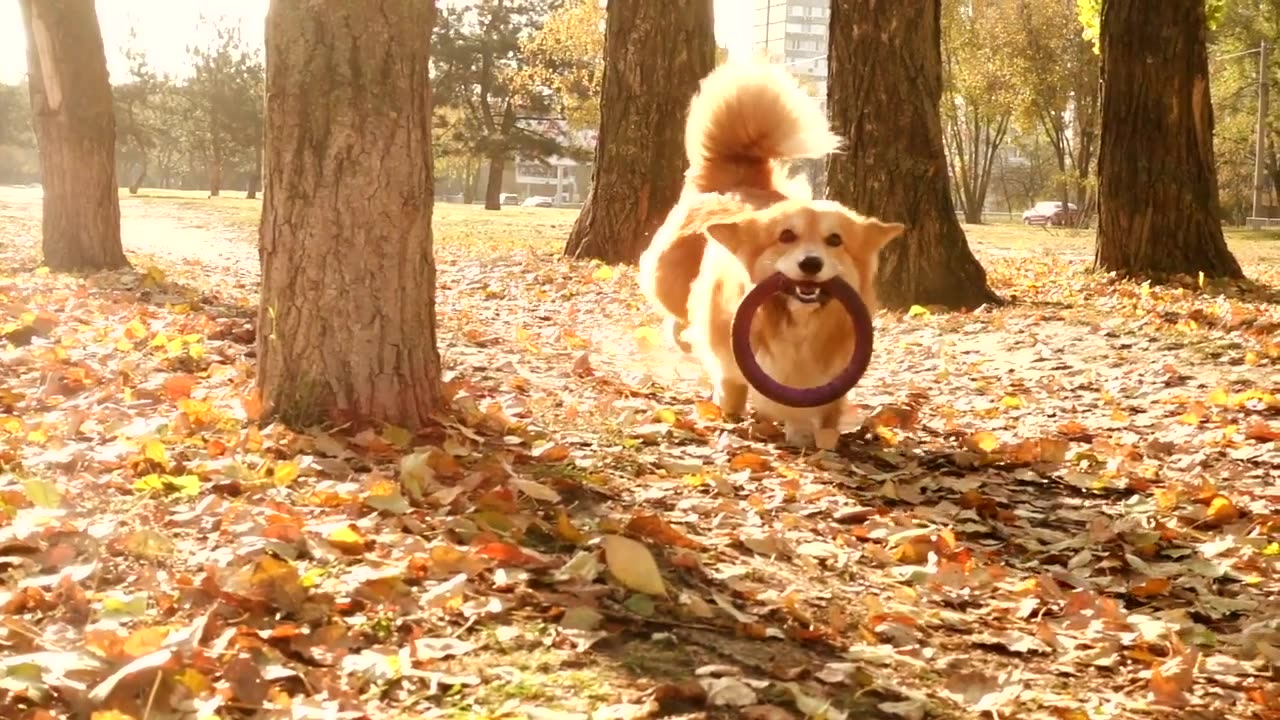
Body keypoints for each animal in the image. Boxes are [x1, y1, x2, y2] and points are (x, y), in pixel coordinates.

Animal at [637, 61, 901, 445]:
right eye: (786, 236)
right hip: (668, 283)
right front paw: (730, 421)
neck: (796, 325)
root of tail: (738, 180)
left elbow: (824, 417)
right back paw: (683, 337)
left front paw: (816, 443)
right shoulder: (730, 361)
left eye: (835, 240)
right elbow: (731, 389)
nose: (811, 263)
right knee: (678, 314)